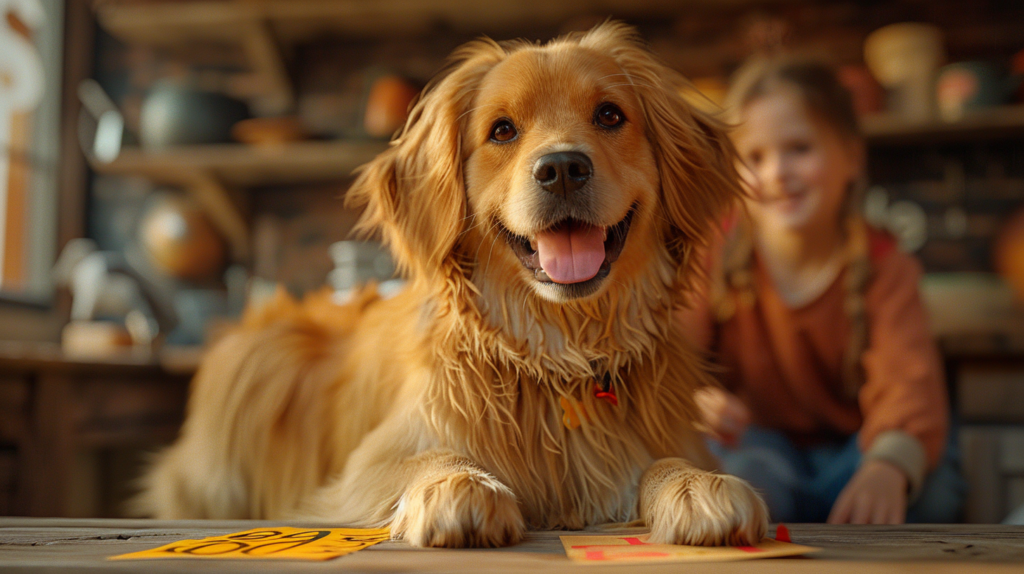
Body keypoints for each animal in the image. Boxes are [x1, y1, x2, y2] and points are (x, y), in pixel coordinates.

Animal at [136, 22, 765, 548]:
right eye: (502, 130)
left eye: (610, 116)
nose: (562, 168)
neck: (560, 353)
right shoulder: (363, 468)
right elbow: (428, 457)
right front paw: (458, 485)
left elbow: (664, 462)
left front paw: (697, 484)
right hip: (258, 365)